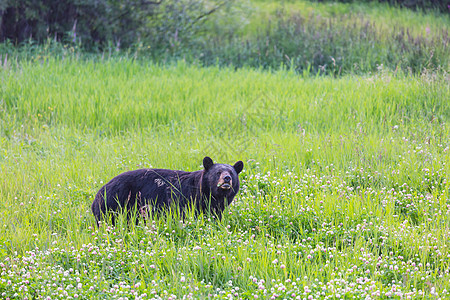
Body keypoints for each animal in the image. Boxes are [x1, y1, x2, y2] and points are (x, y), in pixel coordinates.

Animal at [90, 157, 243, 225]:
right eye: (218, 172)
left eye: (231, 172)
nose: (227, 178)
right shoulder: (184, 200)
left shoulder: (215, 207)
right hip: (113, 205)